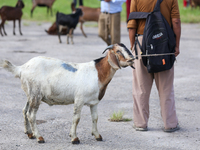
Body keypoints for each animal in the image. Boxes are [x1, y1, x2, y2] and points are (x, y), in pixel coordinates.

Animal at [0, 43, 134, 144]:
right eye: (118, 51)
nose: (132, 59)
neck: (97, 73)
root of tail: (21, 68)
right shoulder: (79, 99)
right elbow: (76, 118)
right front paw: (74, 138)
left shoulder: (94, 102)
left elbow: (95, 118)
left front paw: (97, 136)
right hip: (35, 94)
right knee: (31, 114)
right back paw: (39, 137)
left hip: (30, 94)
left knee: (24, 110)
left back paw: (29, 134)